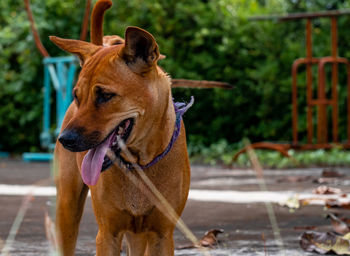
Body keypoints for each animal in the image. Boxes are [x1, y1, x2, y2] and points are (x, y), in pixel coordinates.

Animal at [51, 3, 191, 256]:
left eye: (105, 96)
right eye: (77, 96)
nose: (64, 139)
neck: (139, 164)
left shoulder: (162, 235)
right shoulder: (108, 234)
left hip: (139, 234)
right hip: (68, 207)